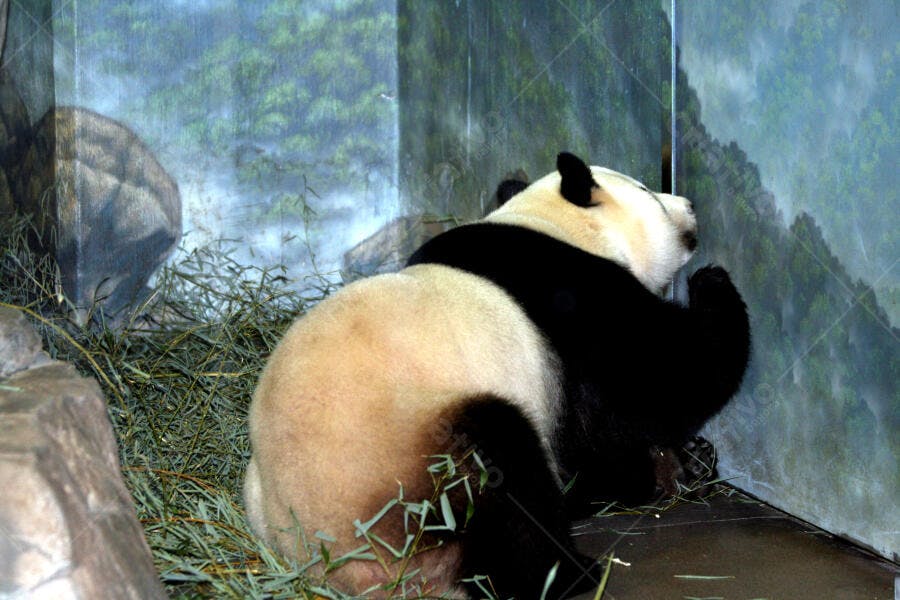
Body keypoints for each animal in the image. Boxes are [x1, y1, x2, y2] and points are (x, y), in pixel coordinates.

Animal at [244, 152, 750, 599]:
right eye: (648, 191)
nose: (690, 206)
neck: (551, 222)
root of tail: (329, 563)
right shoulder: (571, 302)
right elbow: (658, 378)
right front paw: (712, 283)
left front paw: (680, 462)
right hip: (412, 458)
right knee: (503, 470)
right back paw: (568, 574)